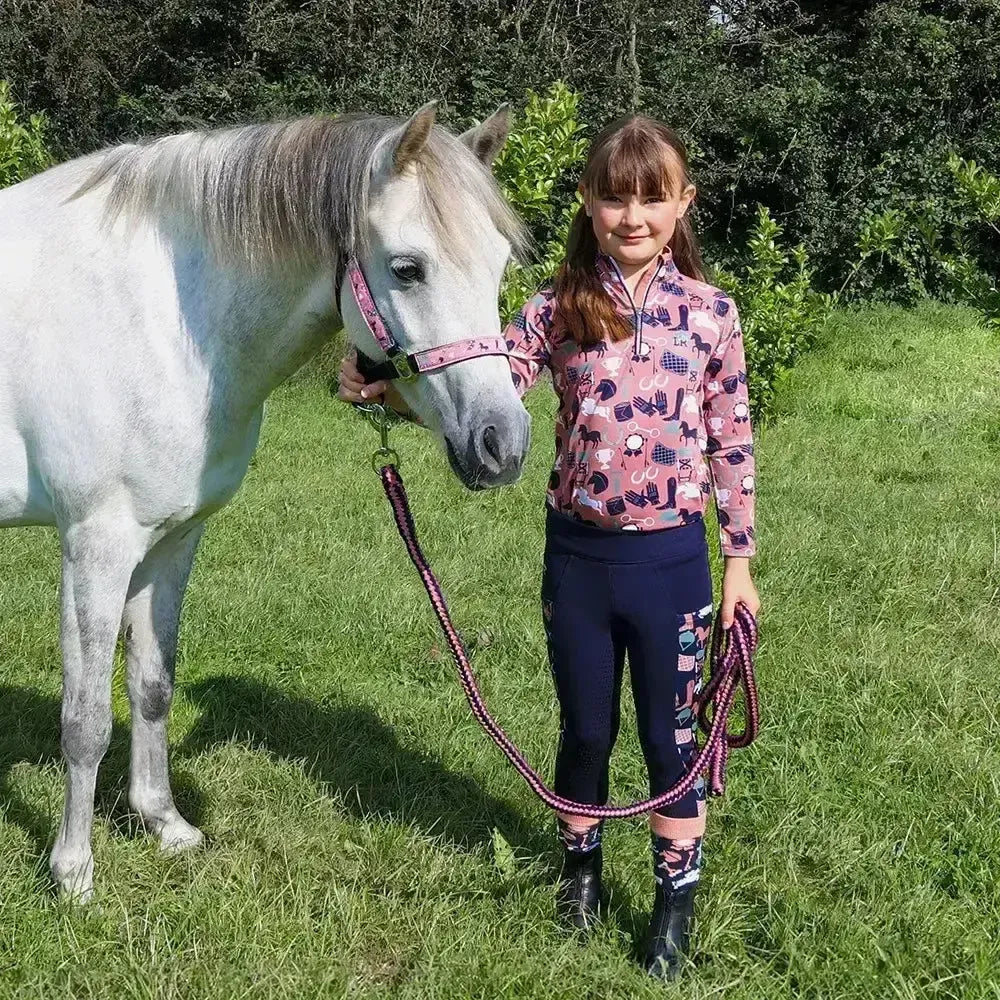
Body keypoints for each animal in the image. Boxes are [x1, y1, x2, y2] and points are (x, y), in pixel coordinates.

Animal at [0, 101, 531, 900]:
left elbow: (152, 685)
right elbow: (85, 720)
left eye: (499, 265)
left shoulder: (171, 541)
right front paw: (74, 874)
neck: (163, 321)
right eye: (407, 268)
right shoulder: (95, 545)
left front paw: (164, 825)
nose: (504, 444)